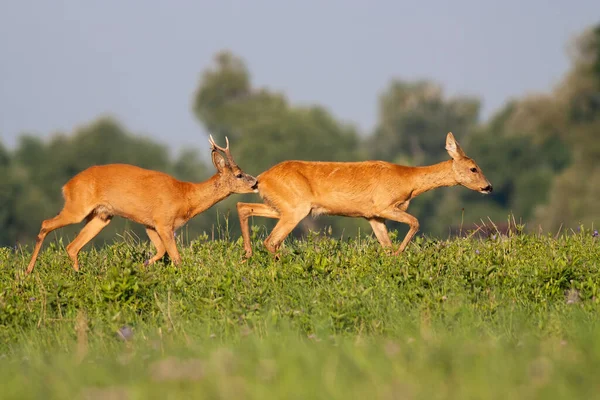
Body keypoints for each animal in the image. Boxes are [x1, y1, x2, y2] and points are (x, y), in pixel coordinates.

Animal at [24, 136, 255, 274]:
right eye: (239, 174)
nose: (255, 183)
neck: (186, 196)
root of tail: (66, 186)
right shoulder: (163, 221)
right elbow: (176, 256)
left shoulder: (150, 224)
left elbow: (161, 251)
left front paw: (142, 265)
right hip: (77, 208)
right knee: (46, 224)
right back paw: (28, 271)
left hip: (102, 216)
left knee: (72, 246)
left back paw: (77, 274)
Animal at [238, 131, 492, 256]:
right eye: (473, 168)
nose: (488, 187)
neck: (408, 180)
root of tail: (261, 178)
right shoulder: (384, 205)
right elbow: (415, 222)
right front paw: (400, 254)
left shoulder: (373, 216)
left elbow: (386, 245)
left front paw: (393, 257)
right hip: (295, 208)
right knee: (271, 241)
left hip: (281, 206)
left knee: (244, 208)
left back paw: (248, 254)